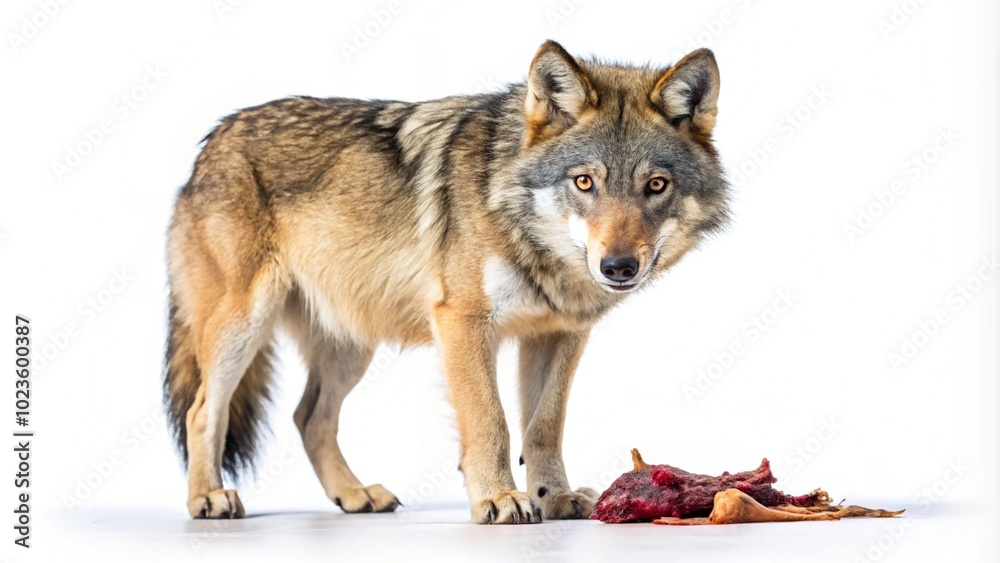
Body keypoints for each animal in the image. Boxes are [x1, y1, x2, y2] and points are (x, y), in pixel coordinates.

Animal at [164, 40, 728, 524]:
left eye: (656, 185)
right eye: (584, 182)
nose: (617, 267)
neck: (527, 235)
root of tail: (213, 139)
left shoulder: (559, 335)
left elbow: (544, 426)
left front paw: (555, 497)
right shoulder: (462, 322)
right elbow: (491, 422)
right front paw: (499, 499)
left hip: (351, 347)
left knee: (309, 417)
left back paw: (355, 494)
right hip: (242, 328)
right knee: (201, 412)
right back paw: (209, 498)